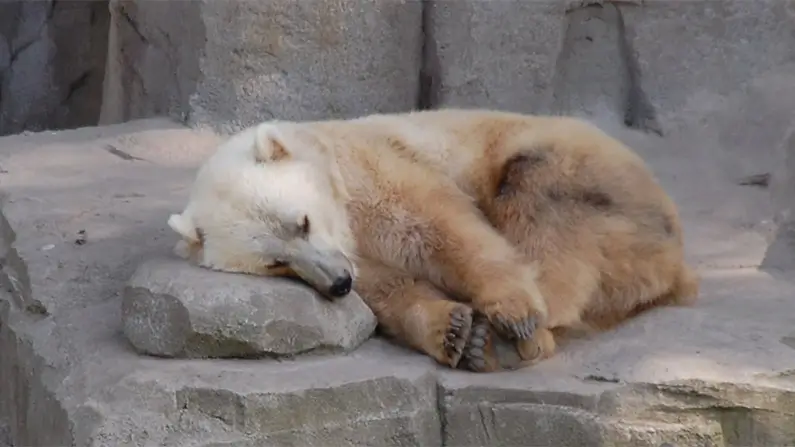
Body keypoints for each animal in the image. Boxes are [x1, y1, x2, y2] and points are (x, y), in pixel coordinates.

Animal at [167, 108, 699, 373]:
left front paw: (510, 313)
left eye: (303, 221)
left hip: (587, 175)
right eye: (276, 263)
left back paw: (521, 331)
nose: (338, 283)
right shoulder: (357, 256)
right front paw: (455, 330)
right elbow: (388, 289)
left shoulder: (374, 167)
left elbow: (435, 226)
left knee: (542, 204)